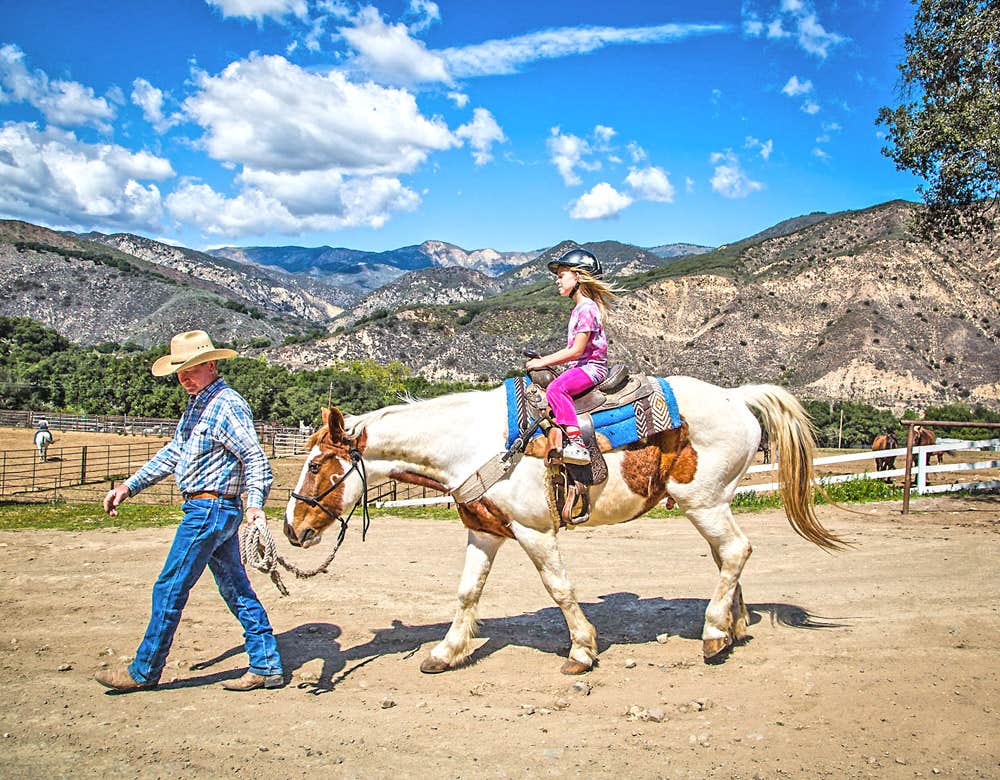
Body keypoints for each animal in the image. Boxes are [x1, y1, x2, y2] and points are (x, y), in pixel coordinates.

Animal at [284, 376, 846, 675]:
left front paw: (581, 650)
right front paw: (444, 653)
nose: (292, 529)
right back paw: (735, 626)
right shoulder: (484, 530)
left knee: (735, 551)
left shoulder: (534, 531)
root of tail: (737, 397)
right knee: (728, 555)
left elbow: (559, 588)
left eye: (316, 465)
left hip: (702, 502)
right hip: (713, 504)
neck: (469, 441)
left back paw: (712, 634)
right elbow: (467, 592)